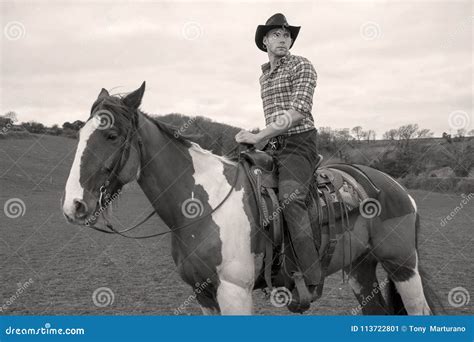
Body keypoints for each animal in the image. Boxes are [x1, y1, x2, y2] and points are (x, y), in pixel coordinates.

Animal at [62, 82, 436, 316]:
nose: (74, 206)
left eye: (112, 135)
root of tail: (398, 189)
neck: (202, 207)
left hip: (403, 266)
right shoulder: (204, 294)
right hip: (361, 268)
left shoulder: (234, 292)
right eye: (80, 133)